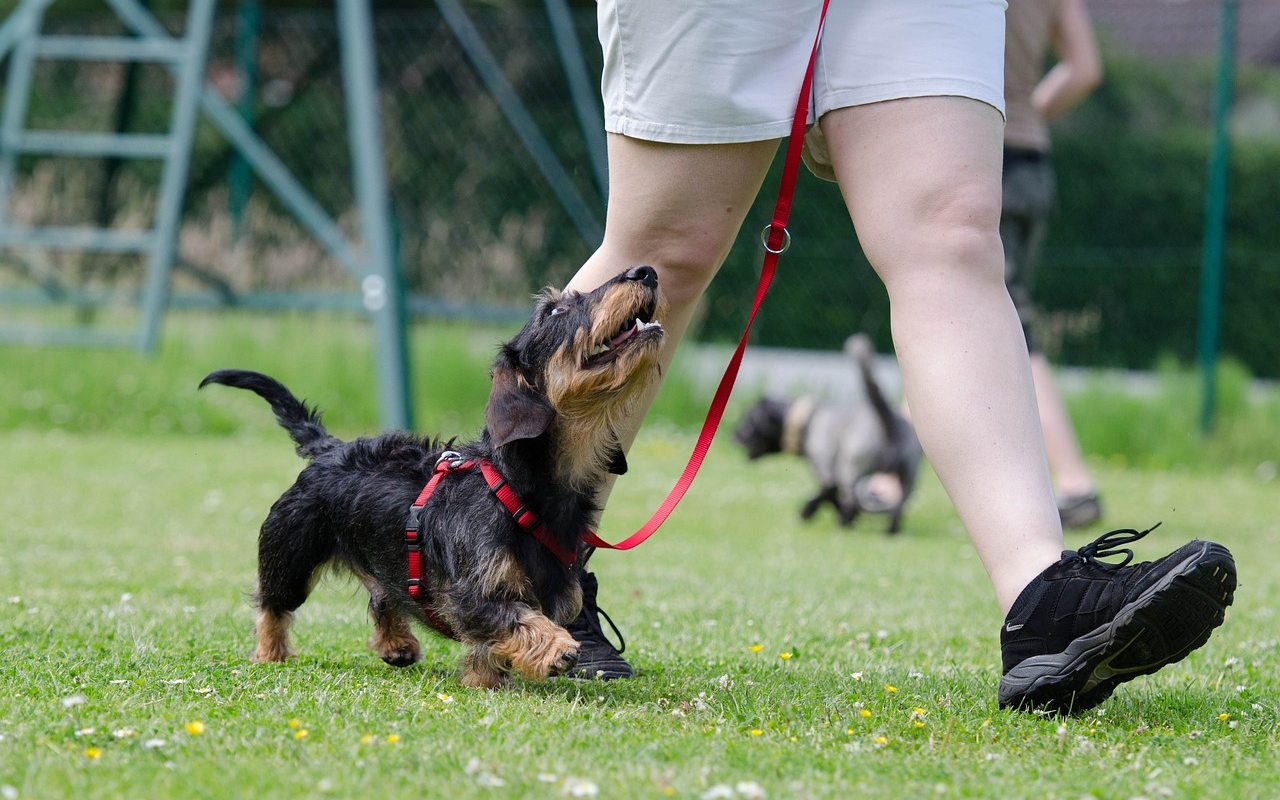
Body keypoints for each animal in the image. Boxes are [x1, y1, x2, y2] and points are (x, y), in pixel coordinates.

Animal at [200, 266, 670, 686]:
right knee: (272, 605)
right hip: (289, 554)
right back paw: (270, 653)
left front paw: (485, 679)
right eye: (555, 311)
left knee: (383, 596)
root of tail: (330, 448)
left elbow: (492, 644)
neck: (517, 489)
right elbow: (516, 619)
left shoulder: (555, 593)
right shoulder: (471, 595)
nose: (645, 271)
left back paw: (396, 644)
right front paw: (555, 648)